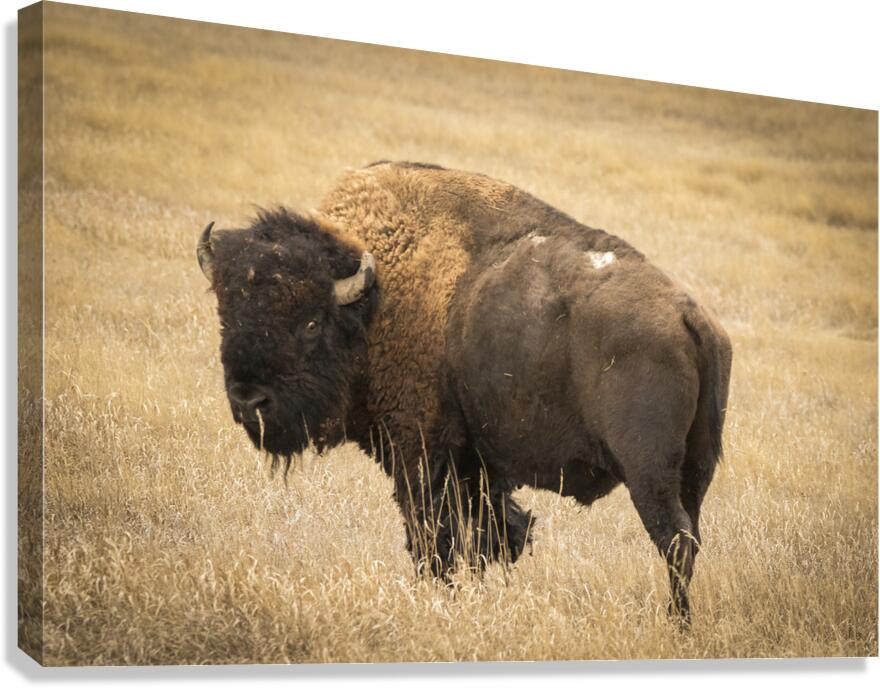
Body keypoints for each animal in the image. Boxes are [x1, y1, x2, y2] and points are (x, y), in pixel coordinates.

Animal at [197, 161, 732, 624]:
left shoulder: (419, 452)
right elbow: (489, 534)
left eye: (311, 323)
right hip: (696, 469)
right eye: (227, 315)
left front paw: (439, 595)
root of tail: (690, 316)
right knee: (691, 535)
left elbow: (433, 535)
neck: (376, 299)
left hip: (648, 472)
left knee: (674, 541)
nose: (249, 401)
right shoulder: (477, 463)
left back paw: (676, 623)